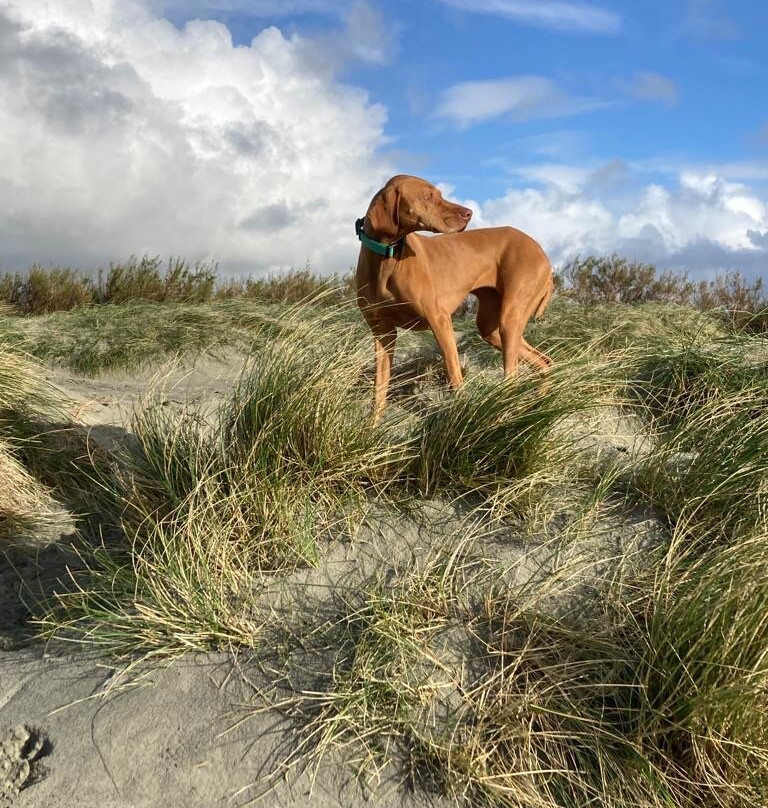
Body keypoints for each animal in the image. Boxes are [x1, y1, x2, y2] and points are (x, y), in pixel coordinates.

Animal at [354, 174, 552, 420]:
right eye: (428, 196)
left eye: (439, 194)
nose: (469, 213)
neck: (386, 259)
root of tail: (541, 251)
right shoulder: (383, 332)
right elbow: (379, 389)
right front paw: (372, 425)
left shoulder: (439, 321)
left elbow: (453, 374)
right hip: (491, 329)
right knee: (544, 361)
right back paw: (538, 406)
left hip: (510, 318)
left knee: (512, 376)